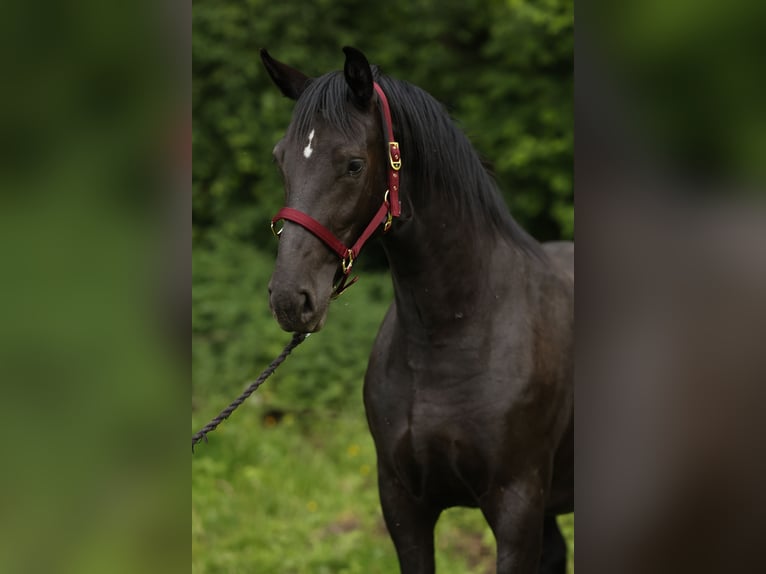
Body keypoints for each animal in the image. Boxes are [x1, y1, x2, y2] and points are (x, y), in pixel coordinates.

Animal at [261, 46, 573, 574]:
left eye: (352, 164)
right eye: (282, 159)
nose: (290, 298)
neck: (453, 332)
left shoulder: (517, 507)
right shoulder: (403, 504)